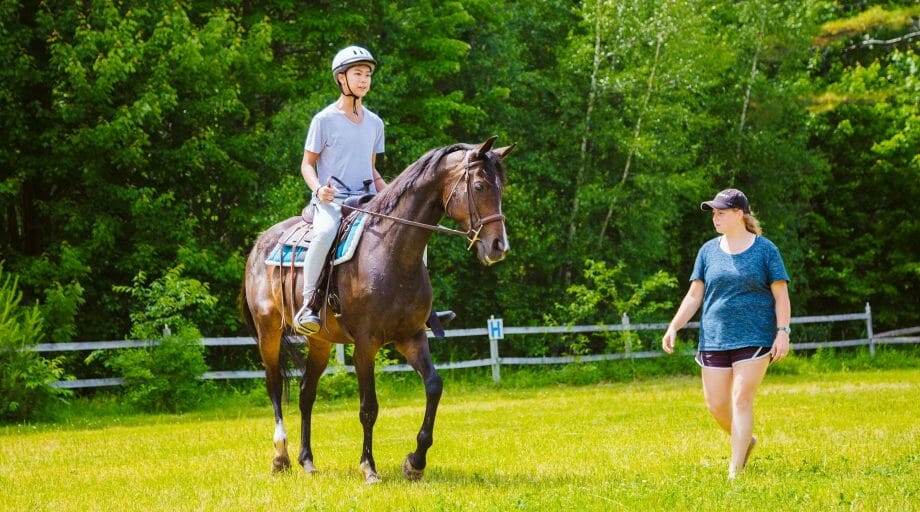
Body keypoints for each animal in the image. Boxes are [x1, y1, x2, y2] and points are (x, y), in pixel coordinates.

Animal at [241, 136, 514, 483]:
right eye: (479, 186)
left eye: (501, 188)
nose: (498, 246)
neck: (391, 251)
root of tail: (260, 243)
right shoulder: (366, 344)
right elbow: (368, 407)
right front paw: (369, 467)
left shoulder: (411, 336)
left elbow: (434, 386)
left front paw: (415, 462)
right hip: (269, 332)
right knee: (275, 386)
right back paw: (281, 456)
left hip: (320, 342)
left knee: (306, 393)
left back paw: (307, 460)